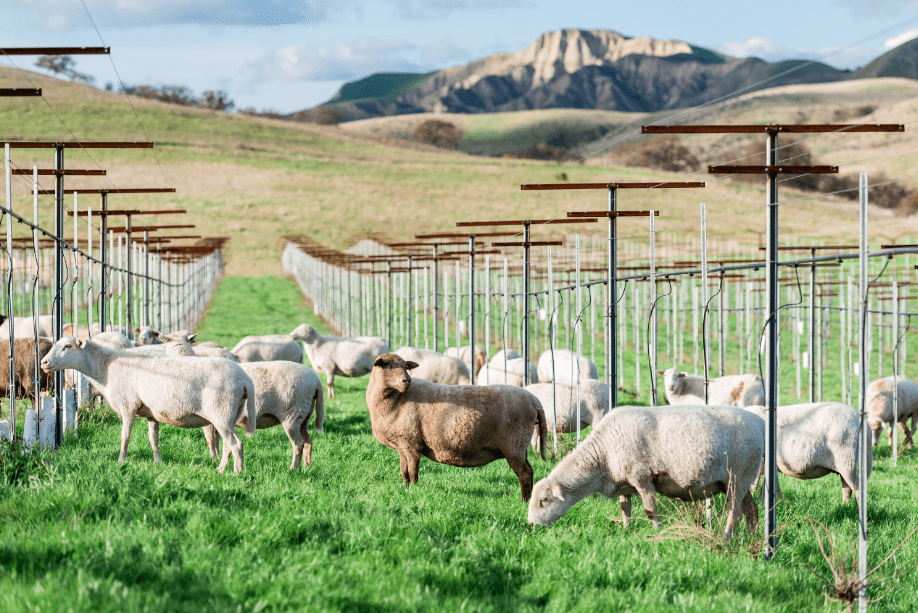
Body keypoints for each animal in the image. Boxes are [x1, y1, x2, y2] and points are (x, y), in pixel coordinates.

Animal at [40, 336, 255, 473]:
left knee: (236, 444)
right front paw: (158, 462)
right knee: (228, 445)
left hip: (221, 413)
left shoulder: (128, 406)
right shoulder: (152, 413)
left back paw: (237, 473)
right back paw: (221, 470)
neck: (106, 367)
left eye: (68, 346)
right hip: (229, 415)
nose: (43, 363)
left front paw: (121, 462)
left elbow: (124, 436)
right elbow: (154, 439)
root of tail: (245, 379)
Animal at [160, 333, 325, 469]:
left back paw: (293, 469)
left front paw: (214, 460)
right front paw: (219, 459)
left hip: (292, 415)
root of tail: (316, 380)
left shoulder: (208, 419)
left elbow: (211, 441)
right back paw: (306, 467)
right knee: (308, 441)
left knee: (298, 444)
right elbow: (219, 442)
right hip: (304, 416)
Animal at [366, 352, 548, 501]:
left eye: (406, 366)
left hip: (514, 445)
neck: (396, 400)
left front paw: (414, 492)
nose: (407, 381)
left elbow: (413, 472)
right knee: (530, 471)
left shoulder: (412, 445)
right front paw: (405, 490)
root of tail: (535, 401)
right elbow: (404, 472)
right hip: (520, 447)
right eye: (386, 364)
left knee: (524, 473)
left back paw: (524, 501)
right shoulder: (403, 445)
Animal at [528, 405, 764, 541]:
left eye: (543, 501)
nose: (531, 525)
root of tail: (759, 422)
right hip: (742, 479)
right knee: (751, 510)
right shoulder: (624, 481)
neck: (603, 455)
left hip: (738, 476)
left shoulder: (641, 476)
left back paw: (726, 538)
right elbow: (625, 508)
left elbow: (650, 508)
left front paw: (658, 531)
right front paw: (626, 530)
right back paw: (752, 539)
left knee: (734, 512)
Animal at [742, 402, 871, 503]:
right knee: (847, 488)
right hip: (844, 463)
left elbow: (755, 485)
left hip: (847, 460)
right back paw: (844, 506)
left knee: (858, 488)